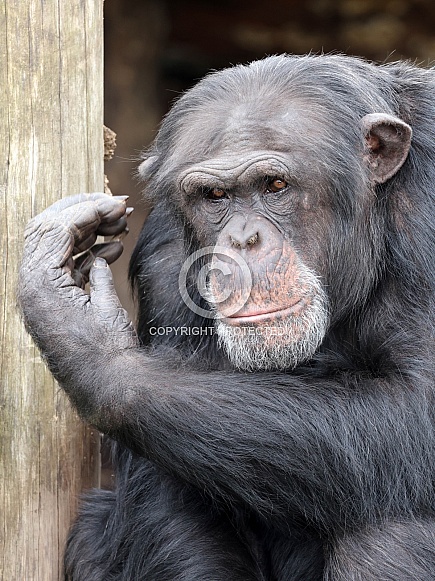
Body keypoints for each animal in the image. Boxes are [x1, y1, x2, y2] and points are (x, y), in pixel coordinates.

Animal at [19, 52, 435, 576]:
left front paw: (88, 346)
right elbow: (167, 482)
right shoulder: (165, 256)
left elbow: (416, 401)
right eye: (214, 197)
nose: (242, 239)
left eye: (275, 185)